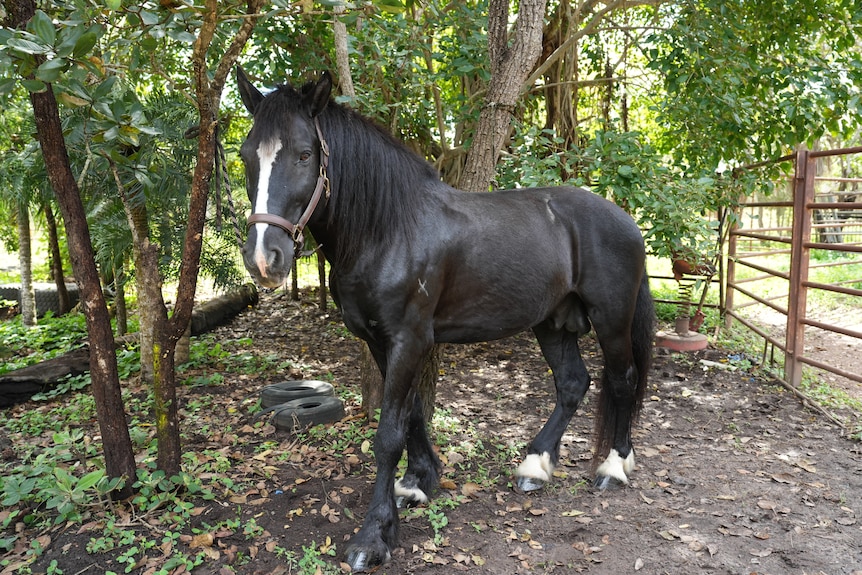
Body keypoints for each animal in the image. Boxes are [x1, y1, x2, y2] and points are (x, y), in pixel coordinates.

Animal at [236, 68, 656, 572]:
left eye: (304, 154)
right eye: (245, 156)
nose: (265, 258)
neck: (389, 229)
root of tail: (625, 219)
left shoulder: (409, 339)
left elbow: (388, 434)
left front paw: (373, 537)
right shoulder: (382, 341)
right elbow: (413, 412)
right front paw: (419, 482)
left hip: (611, 319)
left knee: (622, 381)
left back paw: (614, 466)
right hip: (552, 322)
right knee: (573, 383)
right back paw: (535, 466)